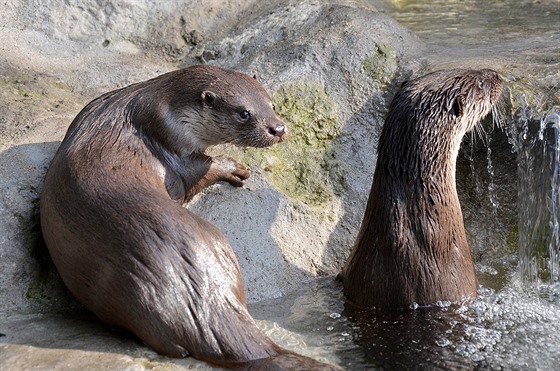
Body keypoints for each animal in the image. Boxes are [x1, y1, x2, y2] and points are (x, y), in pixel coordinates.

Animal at [40, 65, 336, 370]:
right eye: (244, 113)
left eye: (272, 105)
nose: (277, 128)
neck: (158, 110)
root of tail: (197, 298)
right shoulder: (173, 149)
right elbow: (198, 172)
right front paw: (232, 167)